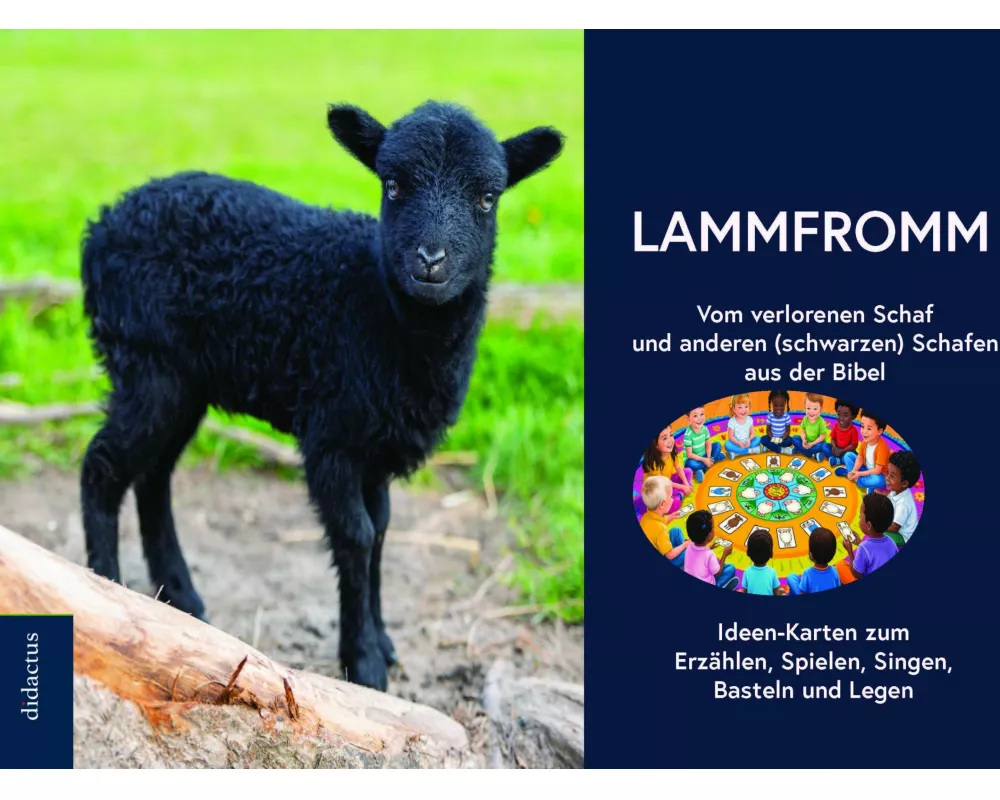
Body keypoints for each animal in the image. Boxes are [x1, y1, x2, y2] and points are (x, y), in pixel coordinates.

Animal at [78, 100, 565, 691]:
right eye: (393, 185)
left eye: (487, 197)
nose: (430, 259)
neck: (379, 312)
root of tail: (101, 224)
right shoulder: (333, 434)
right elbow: (355, 536)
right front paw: (364, 662)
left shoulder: (378, 445)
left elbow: (381, 532)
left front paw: (382, 641)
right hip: (147, 365)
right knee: (103, 466)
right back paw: (105, 588)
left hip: (182, 381)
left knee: (153, 475)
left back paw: (180, 598)